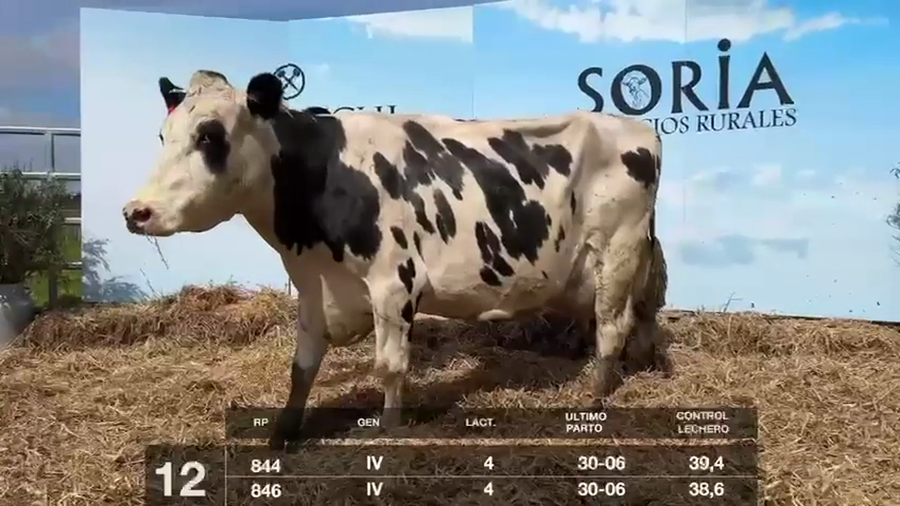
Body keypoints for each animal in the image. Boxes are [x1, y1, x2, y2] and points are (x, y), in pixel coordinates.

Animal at [123, 70, 668, 450]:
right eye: (163, 136)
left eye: (210, 136)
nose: (135, 212)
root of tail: (638, 129)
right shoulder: (313, 285)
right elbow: (302, 366)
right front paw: (283, 432)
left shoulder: (393, 281)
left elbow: (389, 365)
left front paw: (386, 429)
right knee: (638, 314)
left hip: (615, 250)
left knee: (611, 326)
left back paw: (595, 397)